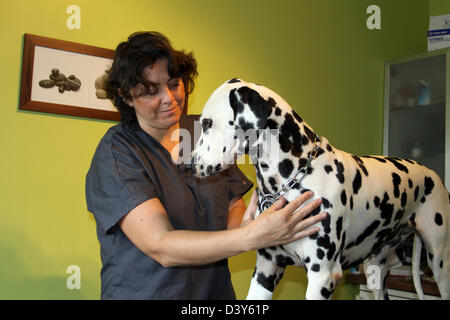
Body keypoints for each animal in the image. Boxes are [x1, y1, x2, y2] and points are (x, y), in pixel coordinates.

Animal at [191, 78, 450, 300]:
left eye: (207, 123)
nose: (188, 165)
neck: (294, 177)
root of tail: (432, 173)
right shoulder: (265, 271)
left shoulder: (322, 276)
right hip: (374, 271)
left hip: (440, 265)